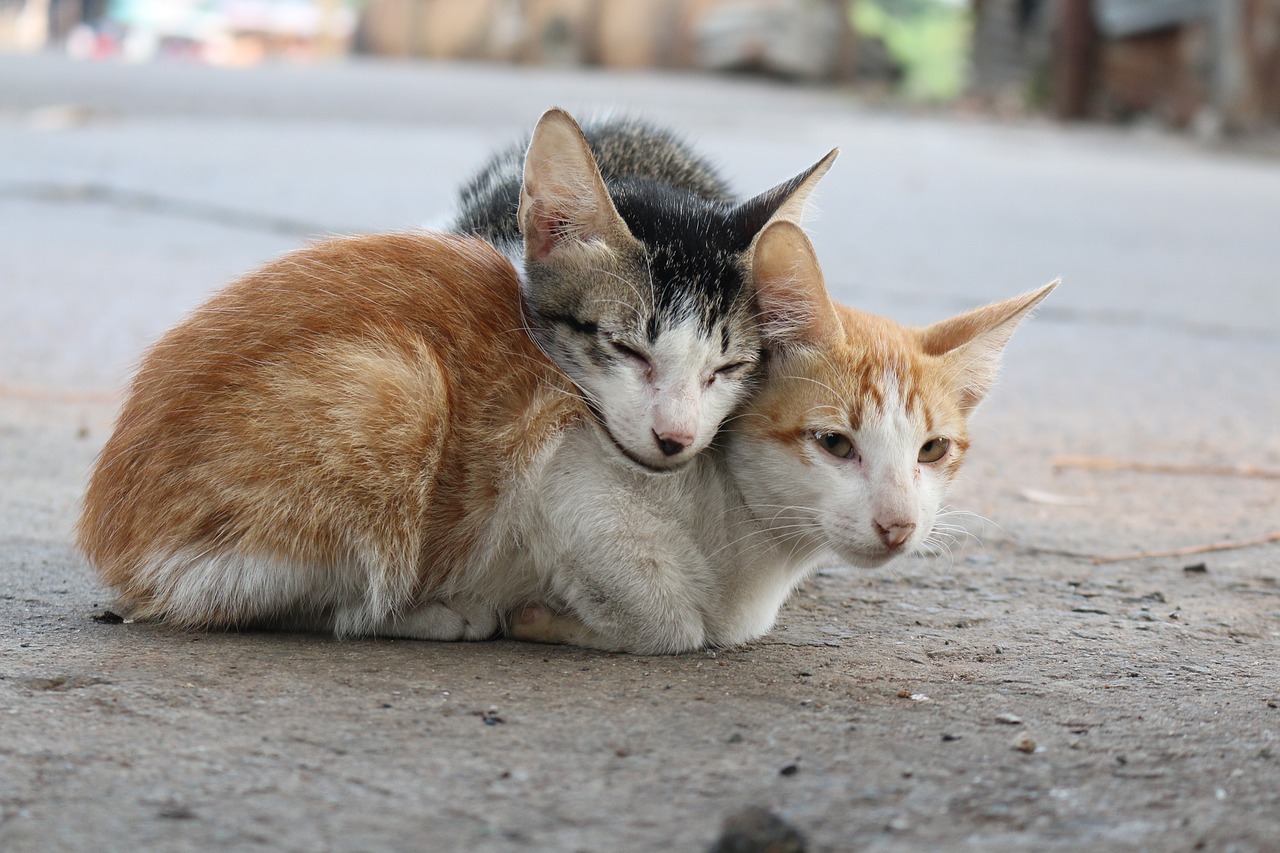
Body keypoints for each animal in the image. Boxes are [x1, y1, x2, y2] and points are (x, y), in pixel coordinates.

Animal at [77, 213, 1049, 650]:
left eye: (932, 450)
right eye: (835, 443)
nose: (898, 524)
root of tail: (107, 528)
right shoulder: (560, 472)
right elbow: (672, 619)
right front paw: (563, 615)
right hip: (396, 385)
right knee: (277, 595)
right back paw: (433, 610)